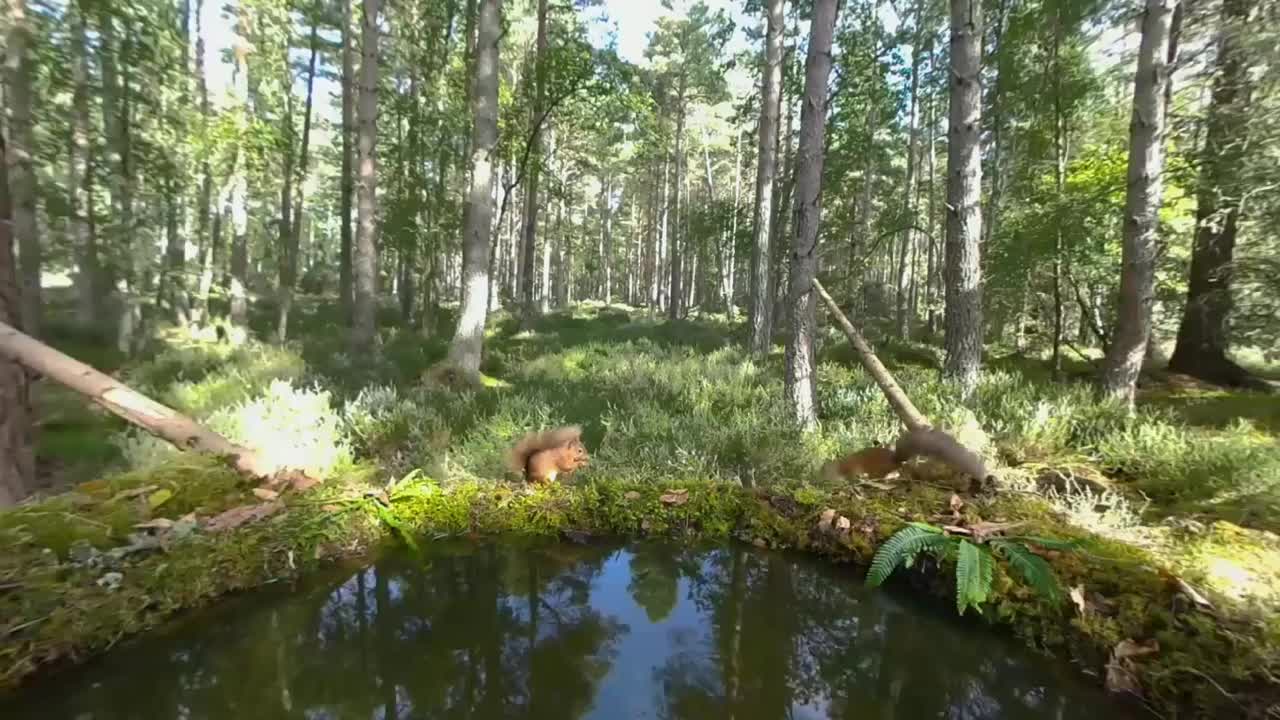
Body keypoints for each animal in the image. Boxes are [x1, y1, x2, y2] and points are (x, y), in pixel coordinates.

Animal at [824, 425, 993, 481]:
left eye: (823, 471)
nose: (820, 480)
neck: (839, 465)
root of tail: (895, 459)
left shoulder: (851, 468)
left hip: (877, 470)